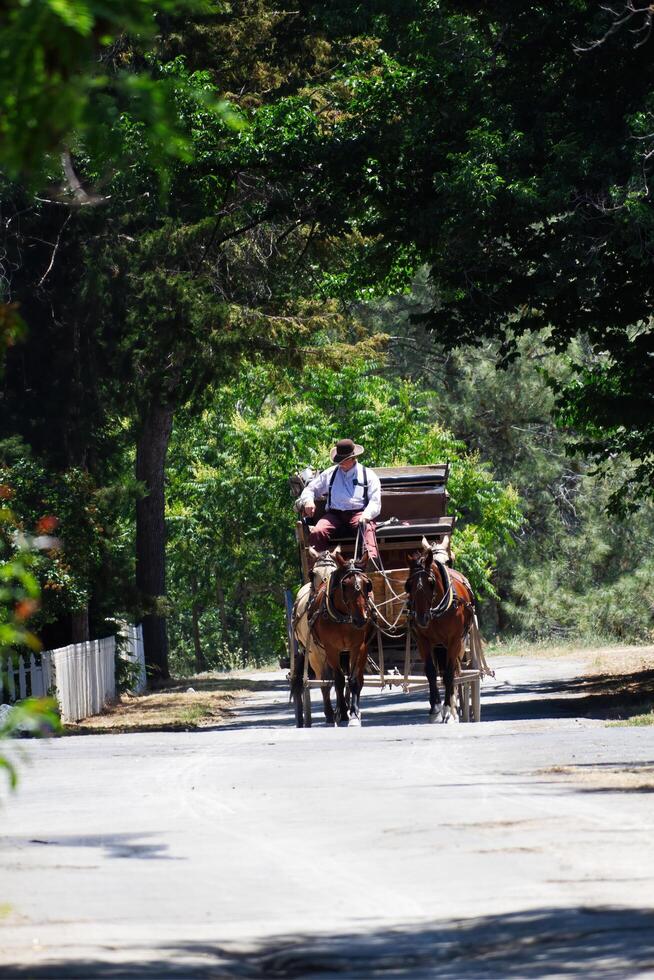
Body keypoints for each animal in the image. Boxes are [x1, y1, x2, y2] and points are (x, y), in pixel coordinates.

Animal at [308, 552, 374, 728]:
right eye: (344, 584)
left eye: (367, 584)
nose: (360, 619)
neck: (344, 618)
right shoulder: (331, 649)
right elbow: (338, 681)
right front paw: (343, 713)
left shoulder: (358, 647)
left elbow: (353, 681)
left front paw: (354, 714)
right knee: (328, 681)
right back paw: (334, 712)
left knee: (355, 678)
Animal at [408, 548, 474, 724]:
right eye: (408, 585)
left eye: (431, 582)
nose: (421, 618)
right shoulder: (423, 641)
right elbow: (431, 672)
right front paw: (435, 709)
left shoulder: (454, 641)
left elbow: (449, 674)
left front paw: (447, 710)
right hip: (438, 646)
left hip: (458, 645)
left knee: (453, 673)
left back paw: (453, 712)